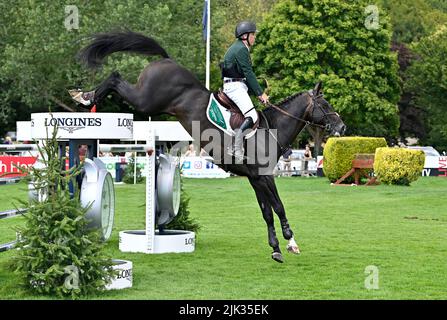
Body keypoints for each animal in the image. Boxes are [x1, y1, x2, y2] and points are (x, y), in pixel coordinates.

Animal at [75, 30, 346, 262]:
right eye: (326, 104)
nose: (342, 128)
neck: (272, 129)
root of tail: (166, 60)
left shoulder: (256, 178)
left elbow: (267, 212)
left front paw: (276, 248)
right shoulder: (265, 176)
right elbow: (278, 207)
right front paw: (291, 242)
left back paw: (85, 96)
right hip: (145, 101)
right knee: (115, 77)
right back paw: (86, 97)